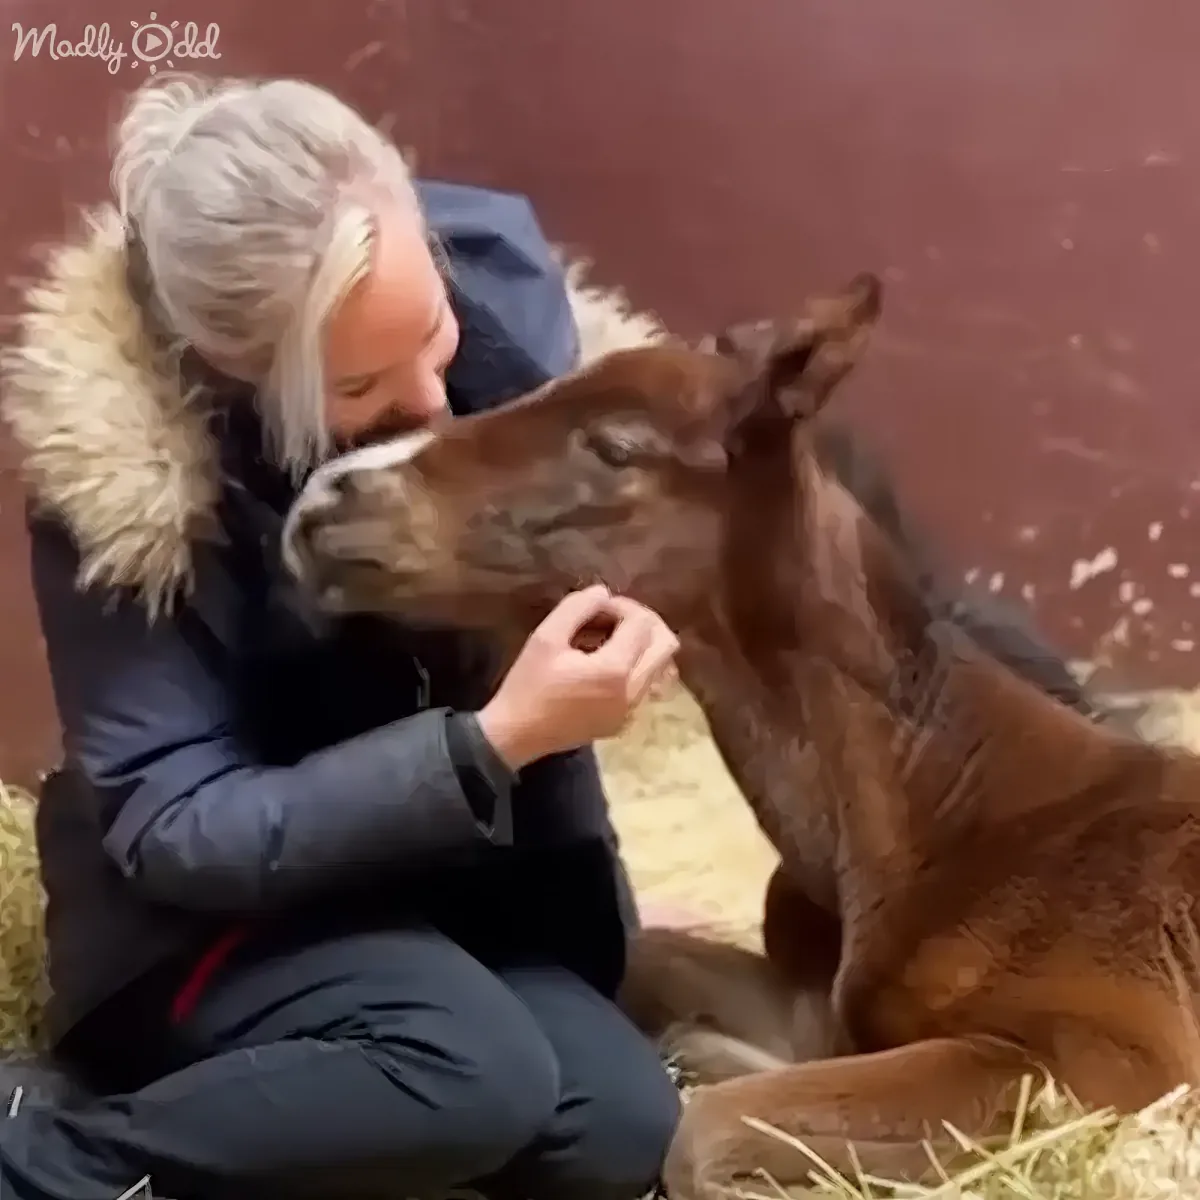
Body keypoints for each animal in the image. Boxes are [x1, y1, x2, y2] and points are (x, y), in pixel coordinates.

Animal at [279, 275, 1200, 1197]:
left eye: (617, 446)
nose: (325, 499)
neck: (941, 808)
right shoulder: (811, 1006)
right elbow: (657, 978)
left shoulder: (1102, 1059)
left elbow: (708, 1129)